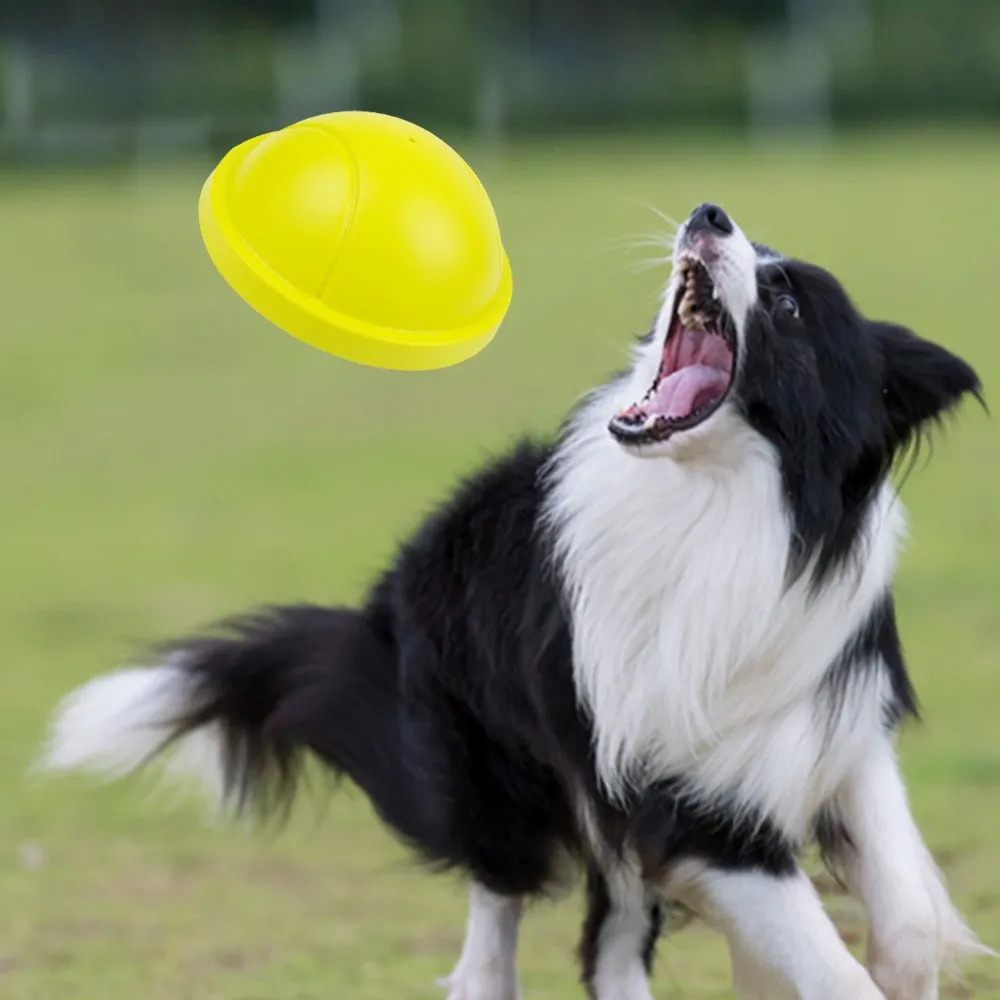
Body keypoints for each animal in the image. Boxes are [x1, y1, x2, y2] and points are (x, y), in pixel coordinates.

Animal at [45, 203, 984, 1000]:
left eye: (786, 301)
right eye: (755, 253)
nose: (709, 214)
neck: (720, 507)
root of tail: (397, 579)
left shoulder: (829, 724)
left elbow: (904, 913)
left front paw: (901, 963)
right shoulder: (684, 804)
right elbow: (831, 967)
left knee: (608, 946)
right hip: (508, 778)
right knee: (499, 918)